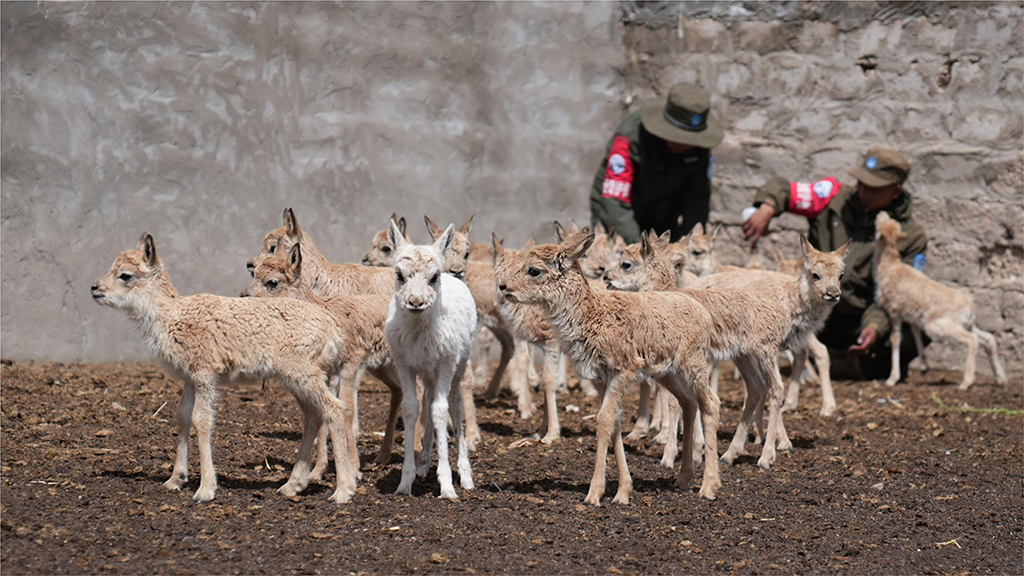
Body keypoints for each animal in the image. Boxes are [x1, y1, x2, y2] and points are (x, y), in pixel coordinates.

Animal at [93, 233, 356, 502]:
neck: (173, 316)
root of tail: (332, 329)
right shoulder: (189, 378)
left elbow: (201, 419)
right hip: (297, 377)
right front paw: (175, 480)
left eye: (125, 275)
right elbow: (182, 416)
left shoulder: (205, 373)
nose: (95, 288)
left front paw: (205, 489)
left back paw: (343, 490)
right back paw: (292, 485)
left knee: (335, 409)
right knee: (313, 414)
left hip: (303, 372)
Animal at [240, 241, 403, 483]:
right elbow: (325, 414)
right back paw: (383, 456)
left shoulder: (350, 364)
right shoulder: (326, 372)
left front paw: (354, 469)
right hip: (382, 365)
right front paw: (317, 471)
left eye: (272, 282)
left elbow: (348, 410)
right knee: (399, 391)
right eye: (254, 273)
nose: (243, 295)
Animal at [385, 219, 477, 498]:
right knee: (427, 401)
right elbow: (412, 409)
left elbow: (440, 411)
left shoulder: (446, 362)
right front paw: (405, 483)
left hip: (459, 365)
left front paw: (447, 486)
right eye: (399, 274)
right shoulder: (404, 363)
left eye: (433, 276)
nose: (416, 302)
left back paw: (466, 476)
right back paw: (424, 465)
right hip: (427, 373)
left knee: (455, 406)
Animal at [495, 227, 720, 502]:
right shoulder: (600, 377)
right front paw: (623, 490)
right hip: (668, 372)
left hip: (693, 363)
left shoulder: (622, 370)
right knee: (688, 404)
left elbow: (603, 421)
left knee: (711, 403)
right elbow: (615, 424)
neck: (592, 317)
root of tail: (705, 314)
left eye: (534, 270)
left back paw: (708, 486)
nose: (504, 286)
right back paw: (684, 478)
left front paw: (594, 494)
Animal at [872, 212, 1007, 389]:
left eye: (881, 224)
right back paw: (1000, 378)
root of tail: (970, 307)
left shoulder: (894, 313)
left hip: (938, 326)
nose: (880, 213)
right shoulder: (912, 318)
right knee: (988, 339)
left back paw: (966, 382)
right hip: (967, 325)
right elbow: (915, 333)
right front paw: (924, 367)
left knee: (972, 340)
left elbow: (895, 340)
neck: (889, 266)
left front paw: (892, 379)